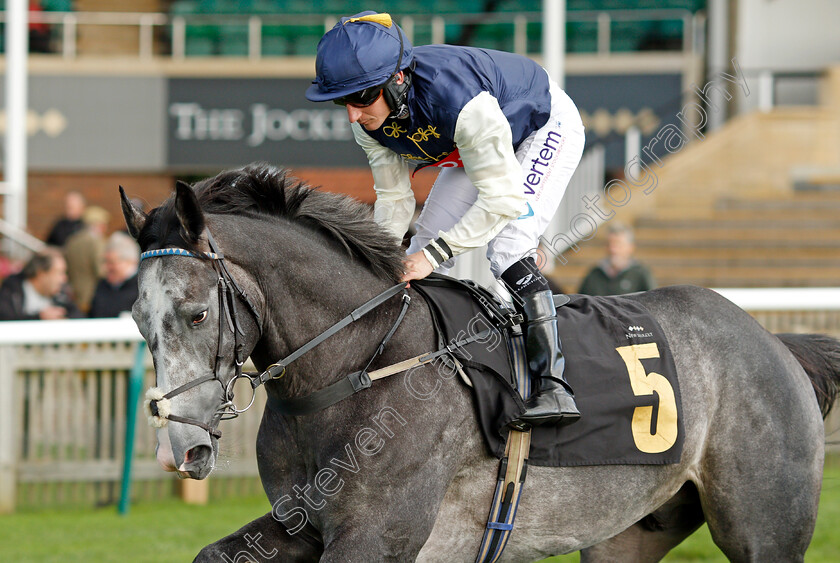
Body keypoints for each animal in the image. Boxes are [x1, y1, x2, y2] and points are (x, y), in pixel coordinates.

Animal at [120, 162, 840, 560]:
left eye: (196, 314)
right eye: (138, 319)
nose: (180, 449)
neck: (351, 370)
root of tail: (774, 342)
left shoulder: (376, 536)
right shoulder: (305, 522)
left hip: (765, 528)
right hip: (630, 530)